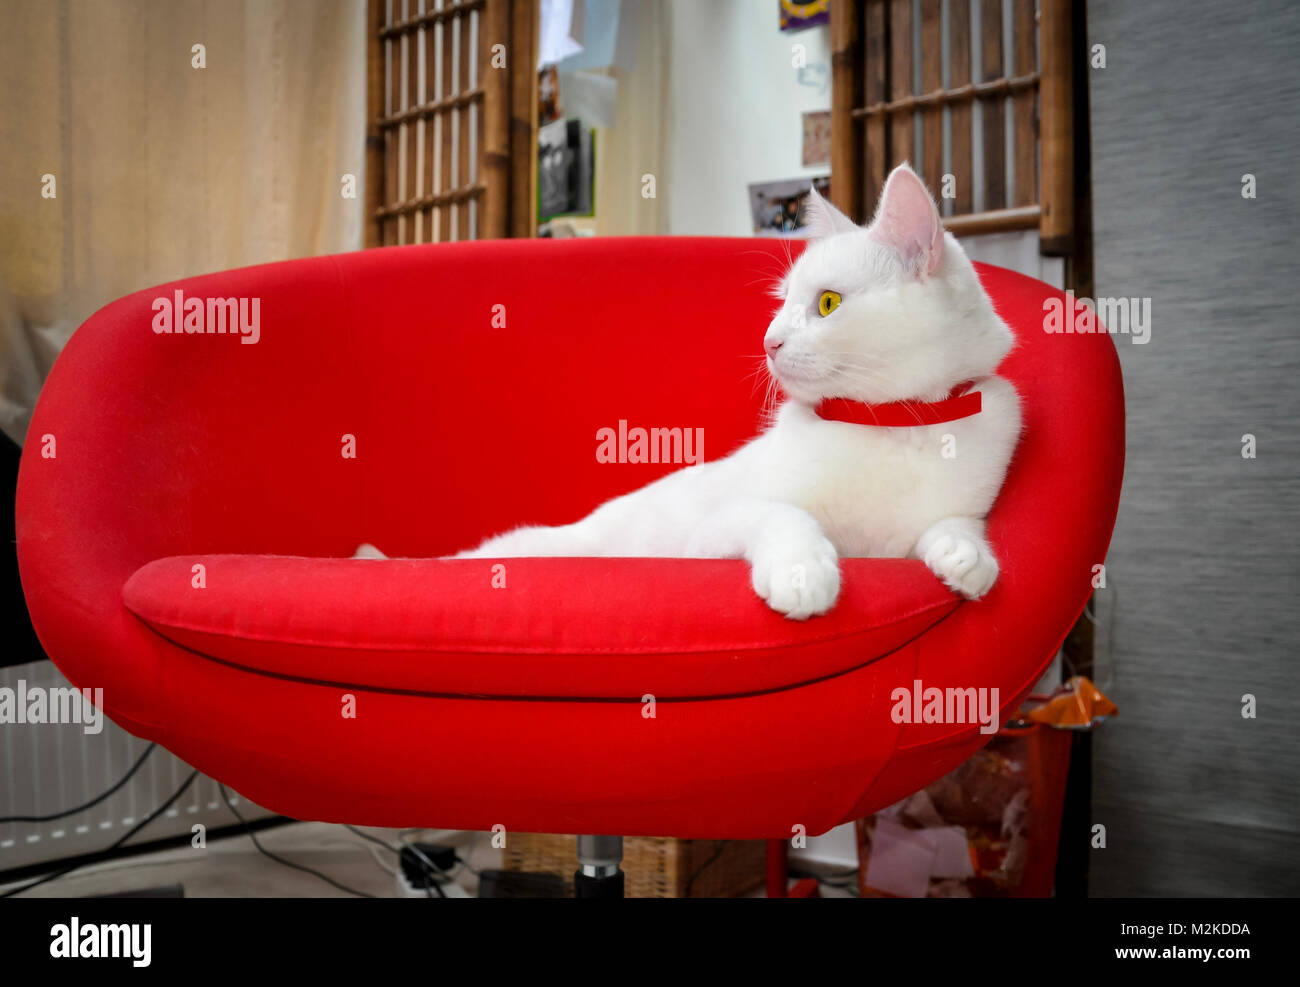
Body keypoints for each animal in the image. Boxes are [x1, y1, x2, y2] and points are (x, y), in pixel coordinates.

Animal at [361, 165, 1019, 621]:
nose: (769, 341)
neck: (890, 425)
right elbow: (782, 513)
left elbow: (953, 524)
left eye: (827, 303)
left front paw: (968, 557)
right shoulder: (713, 531)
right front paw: (804, 572)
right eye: (783, 301)